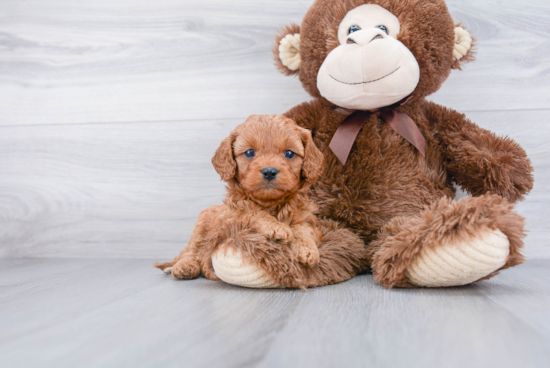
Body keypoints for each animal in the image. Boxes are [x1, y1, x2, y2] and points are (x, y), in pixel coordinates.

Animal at [154, 113, 328, 280]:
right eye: (250, 152)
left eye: (290, 153)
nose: (269, 171)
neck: (270, 203)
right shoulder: (233, 219)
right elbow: (254, 213)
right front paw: (276, 227)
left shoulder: (306, 217)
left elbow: (304, 229)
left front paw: (308, 250)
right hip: (202, 223)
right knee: (191, 250)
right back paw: (184, 266)